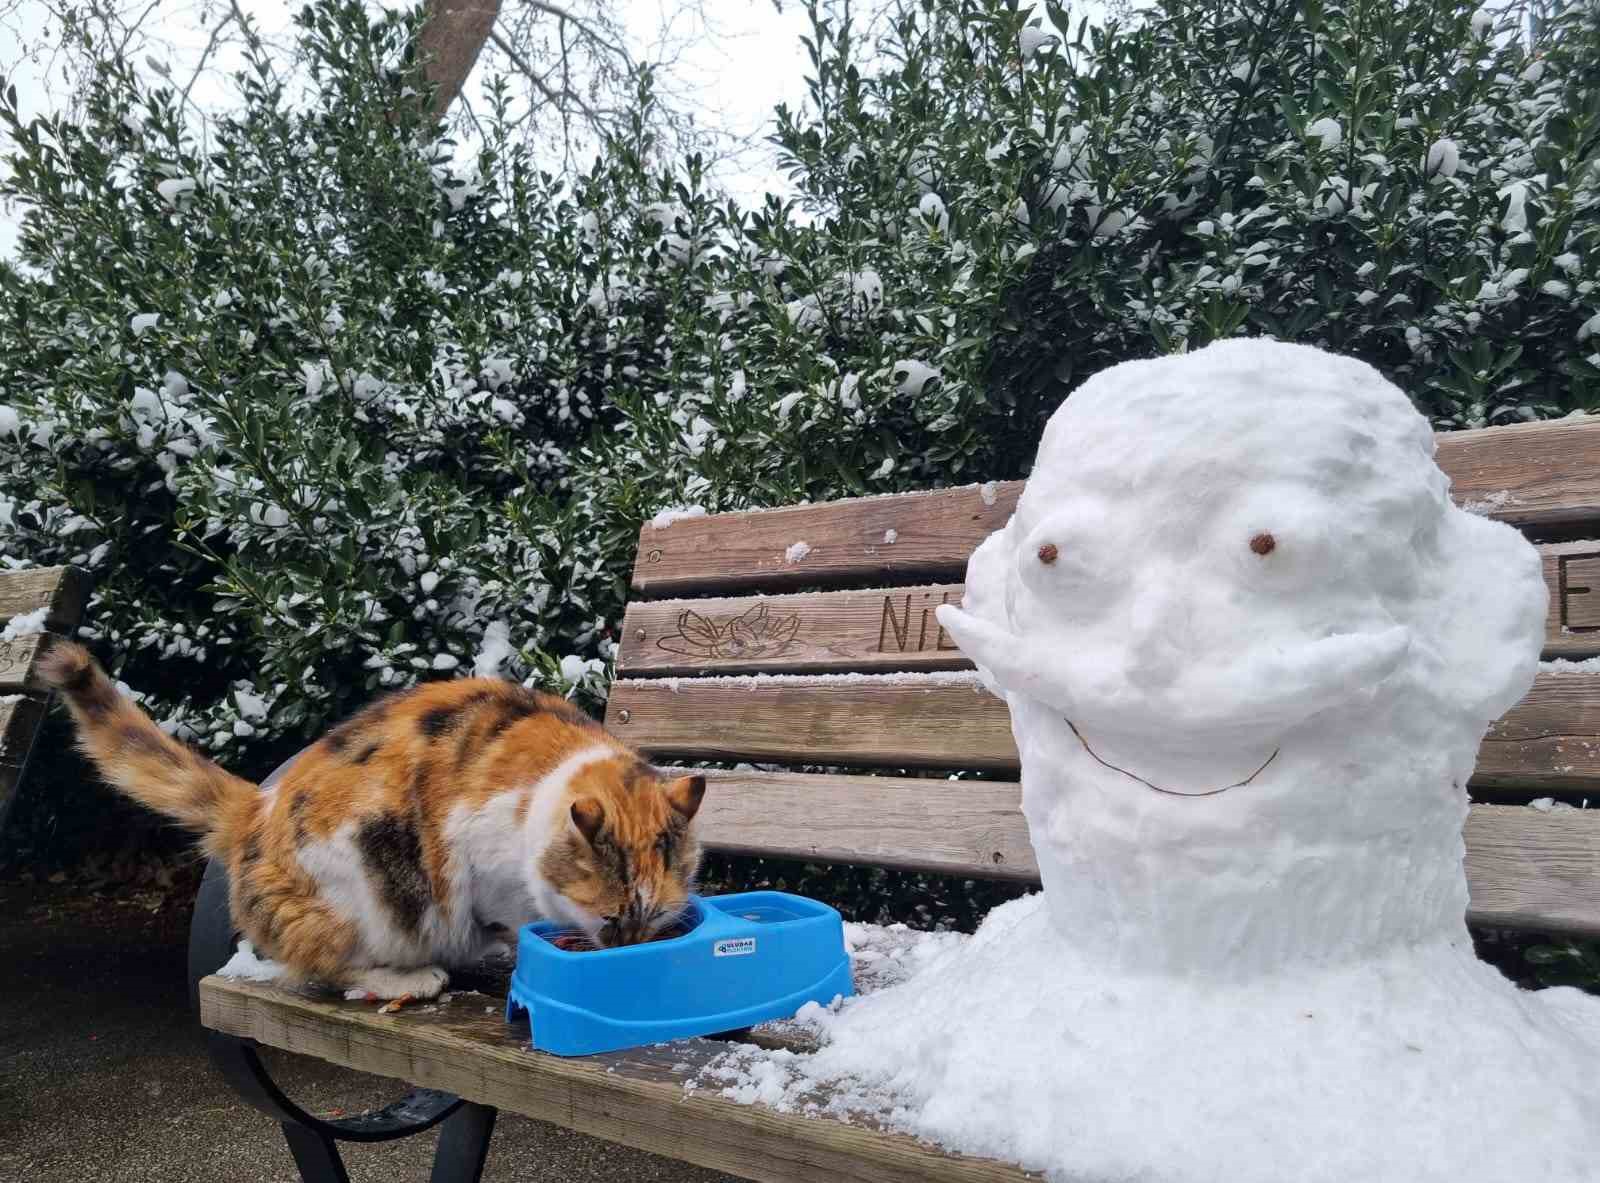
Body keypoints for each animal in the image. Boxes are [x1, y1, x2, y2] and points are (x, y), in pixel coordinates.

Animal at [40, 643, 704, 1005]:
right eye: (612, 919)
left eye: (653, 920)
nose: (630, 951)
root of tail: (255, 808)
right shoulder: (478, 859)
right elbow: (510, 919)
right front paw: (515, 946)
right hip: (363, 882)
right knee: (321, 965)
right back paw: (411, 977)